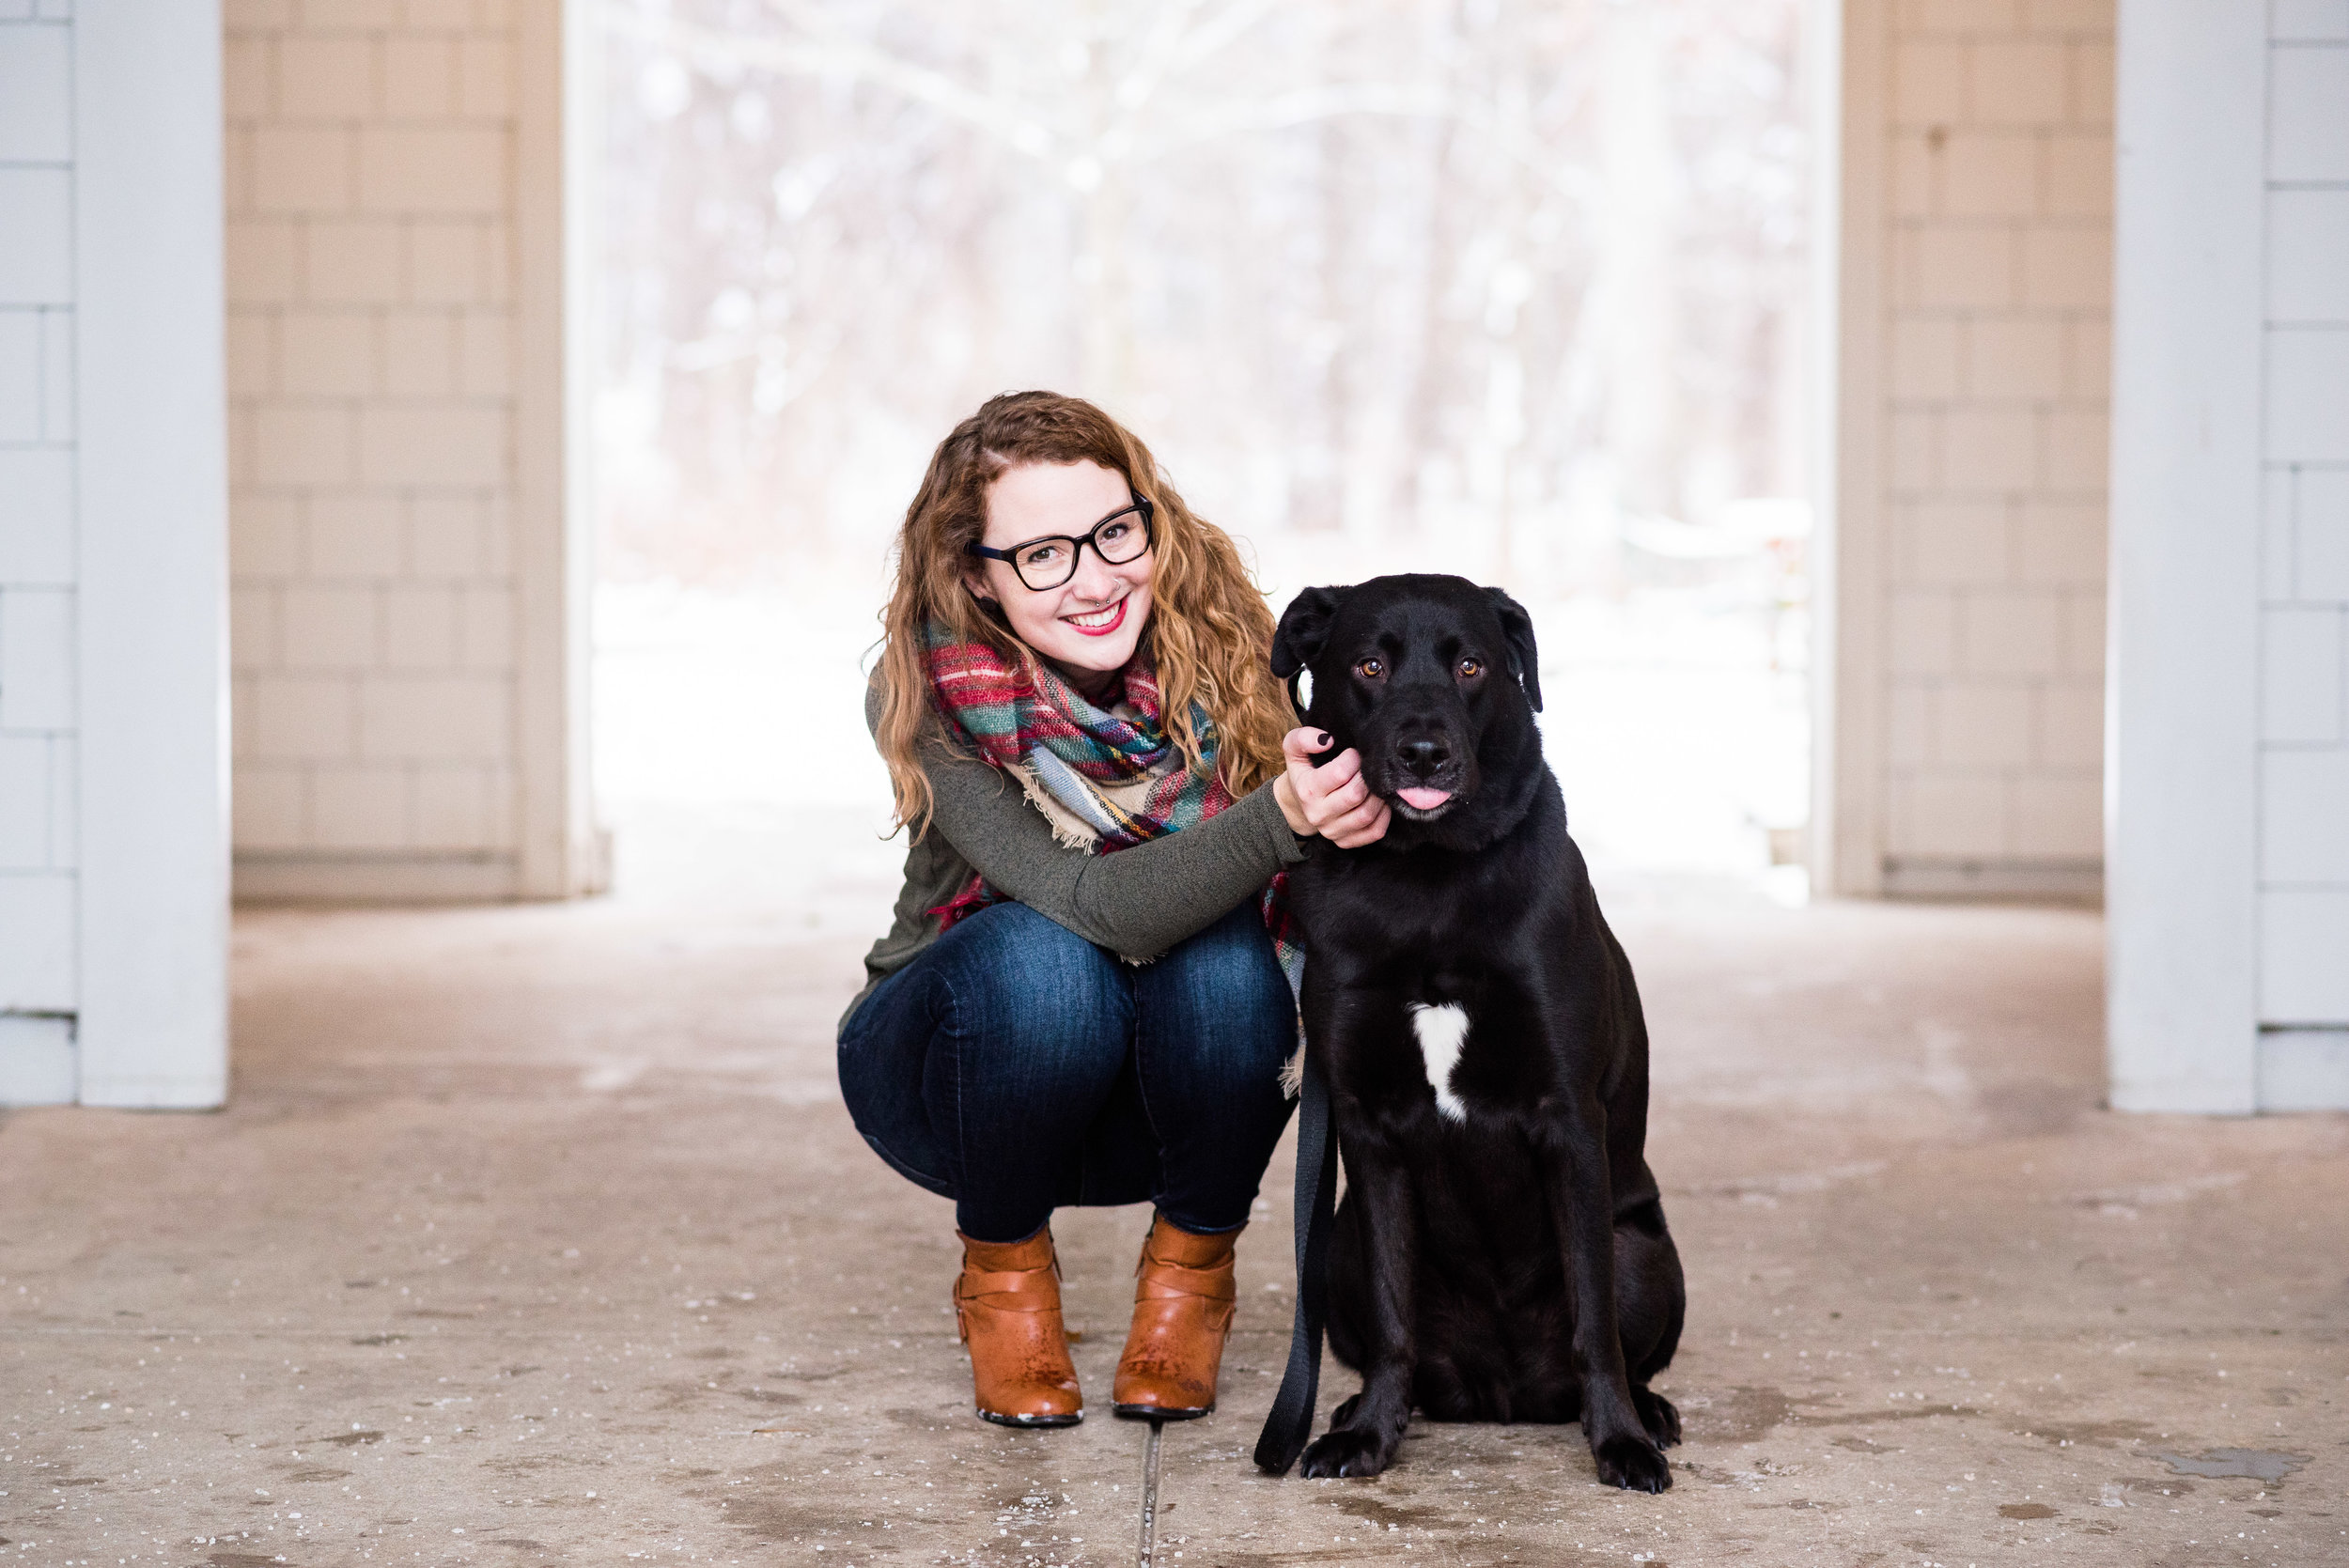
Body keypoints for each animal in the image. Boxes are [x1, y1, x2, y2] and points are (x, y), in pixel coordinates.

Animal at [1278, 575, 1682, 1493]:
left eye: (1471, 665)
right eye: (1368, 665)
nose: (1426, 753)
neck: (1427, 881)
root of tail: (1504, 1392)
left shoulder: (1568, 1121)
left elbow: (1595, 1324)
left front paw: (1620, 1440)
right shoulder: (1370, 1128)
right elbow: (1393, 1319)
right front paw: (1370, 1434)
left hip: (1644, 1249)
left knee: (1620, 1335)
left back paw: (1650, 1413)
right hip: (1337, 1242)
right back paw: (1357, 1409)